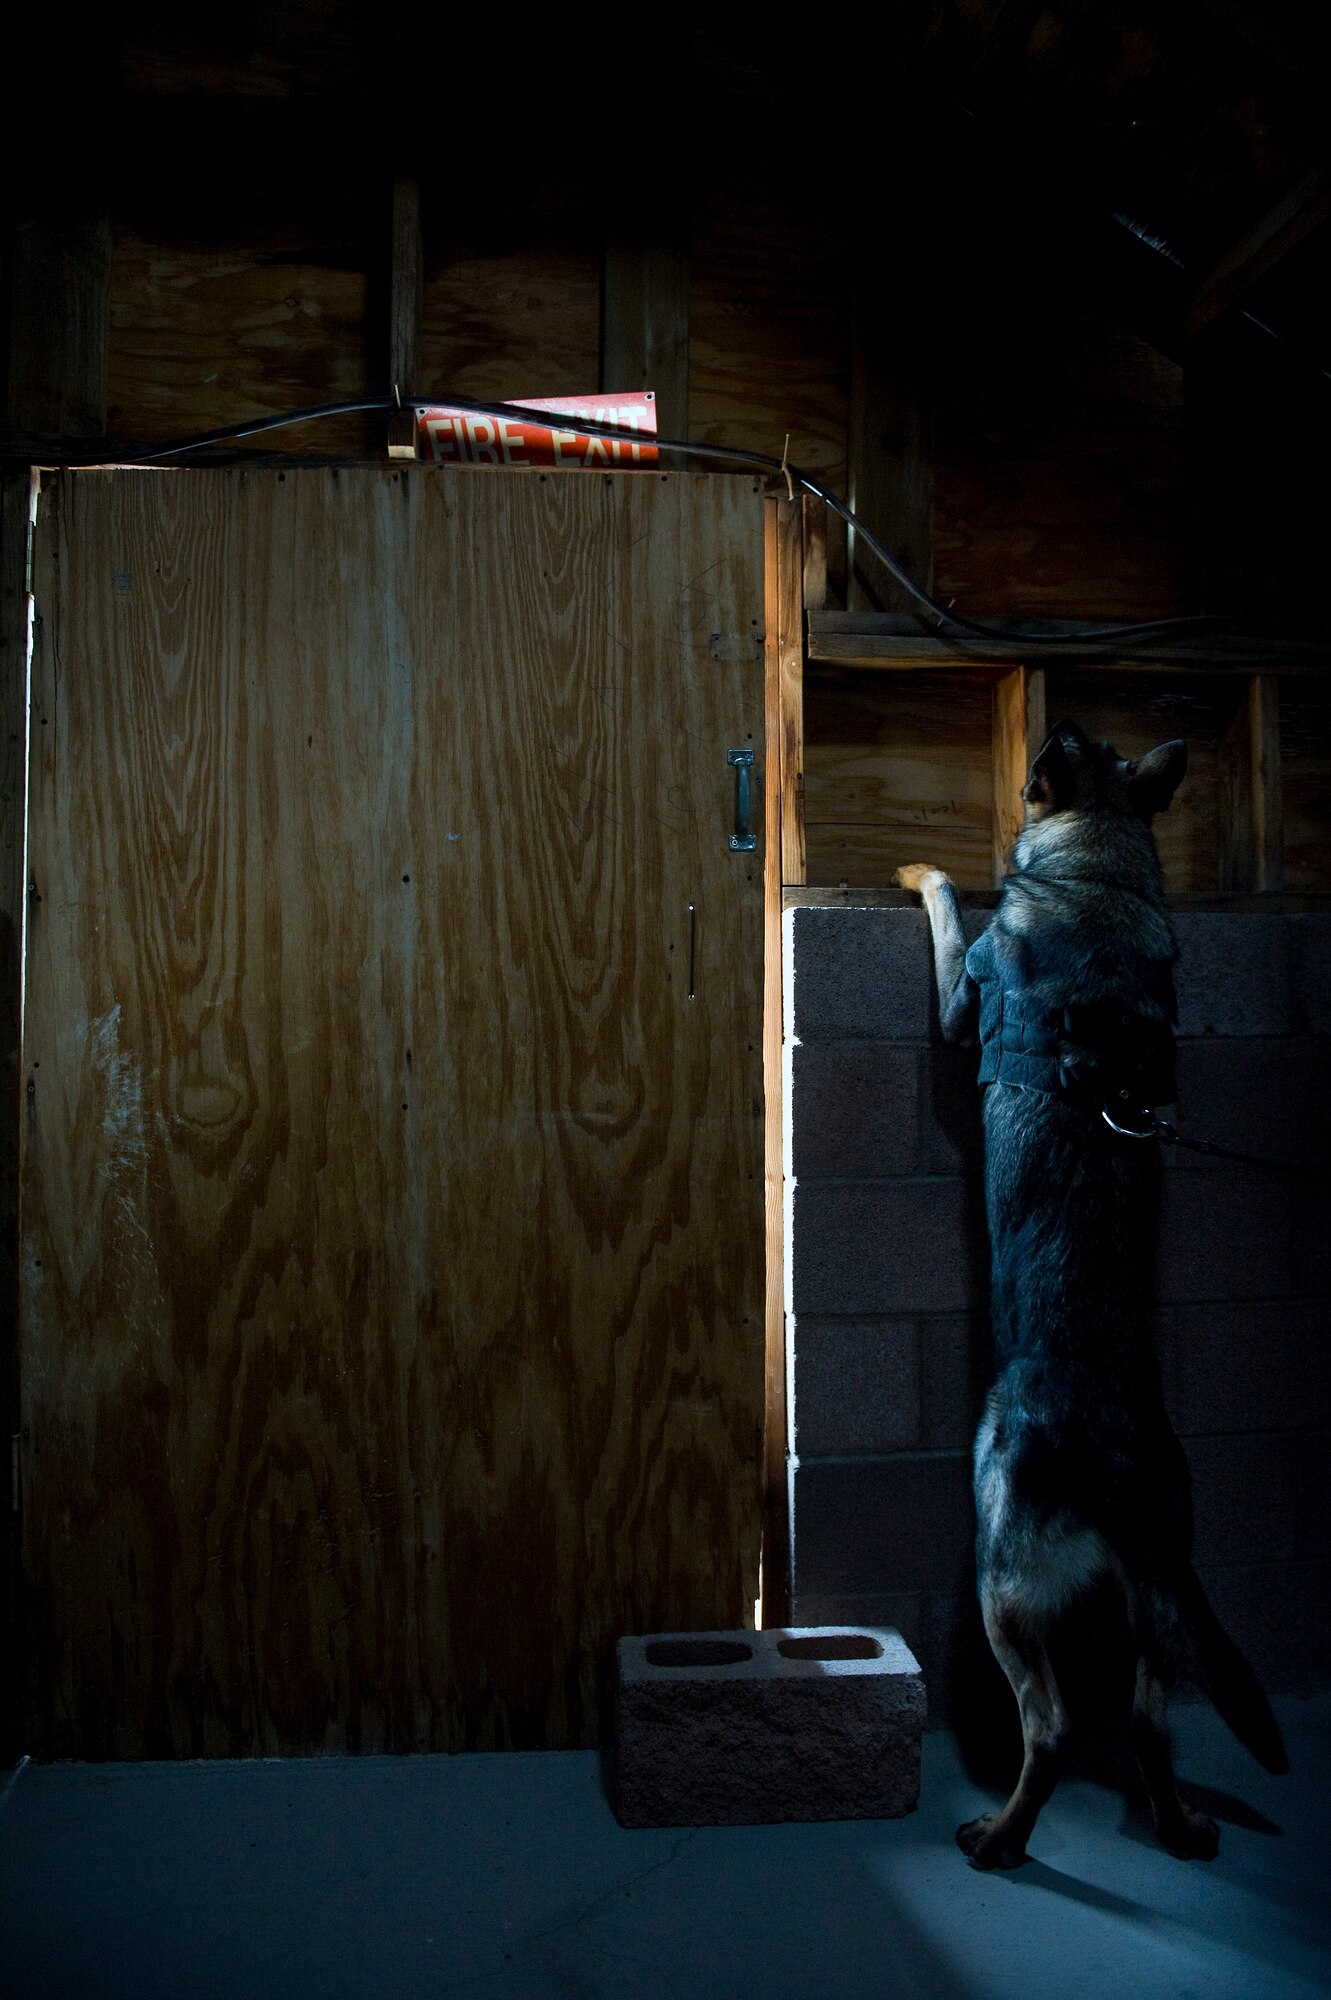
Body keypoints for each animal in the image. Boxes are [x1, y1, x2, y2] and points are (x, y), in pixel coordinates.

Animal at [891, 724, 1287, 1872]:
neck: (1097, 867)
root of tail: (1115, 1461)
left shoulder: (959, 994)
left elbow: (948, 907)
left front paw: (921, 868)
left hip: (999, 1576)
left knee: (1055, 1727)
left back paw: (997, 1837)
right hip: (1156, 1600)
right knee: (1148, 1724)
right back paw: (1177, 1822)